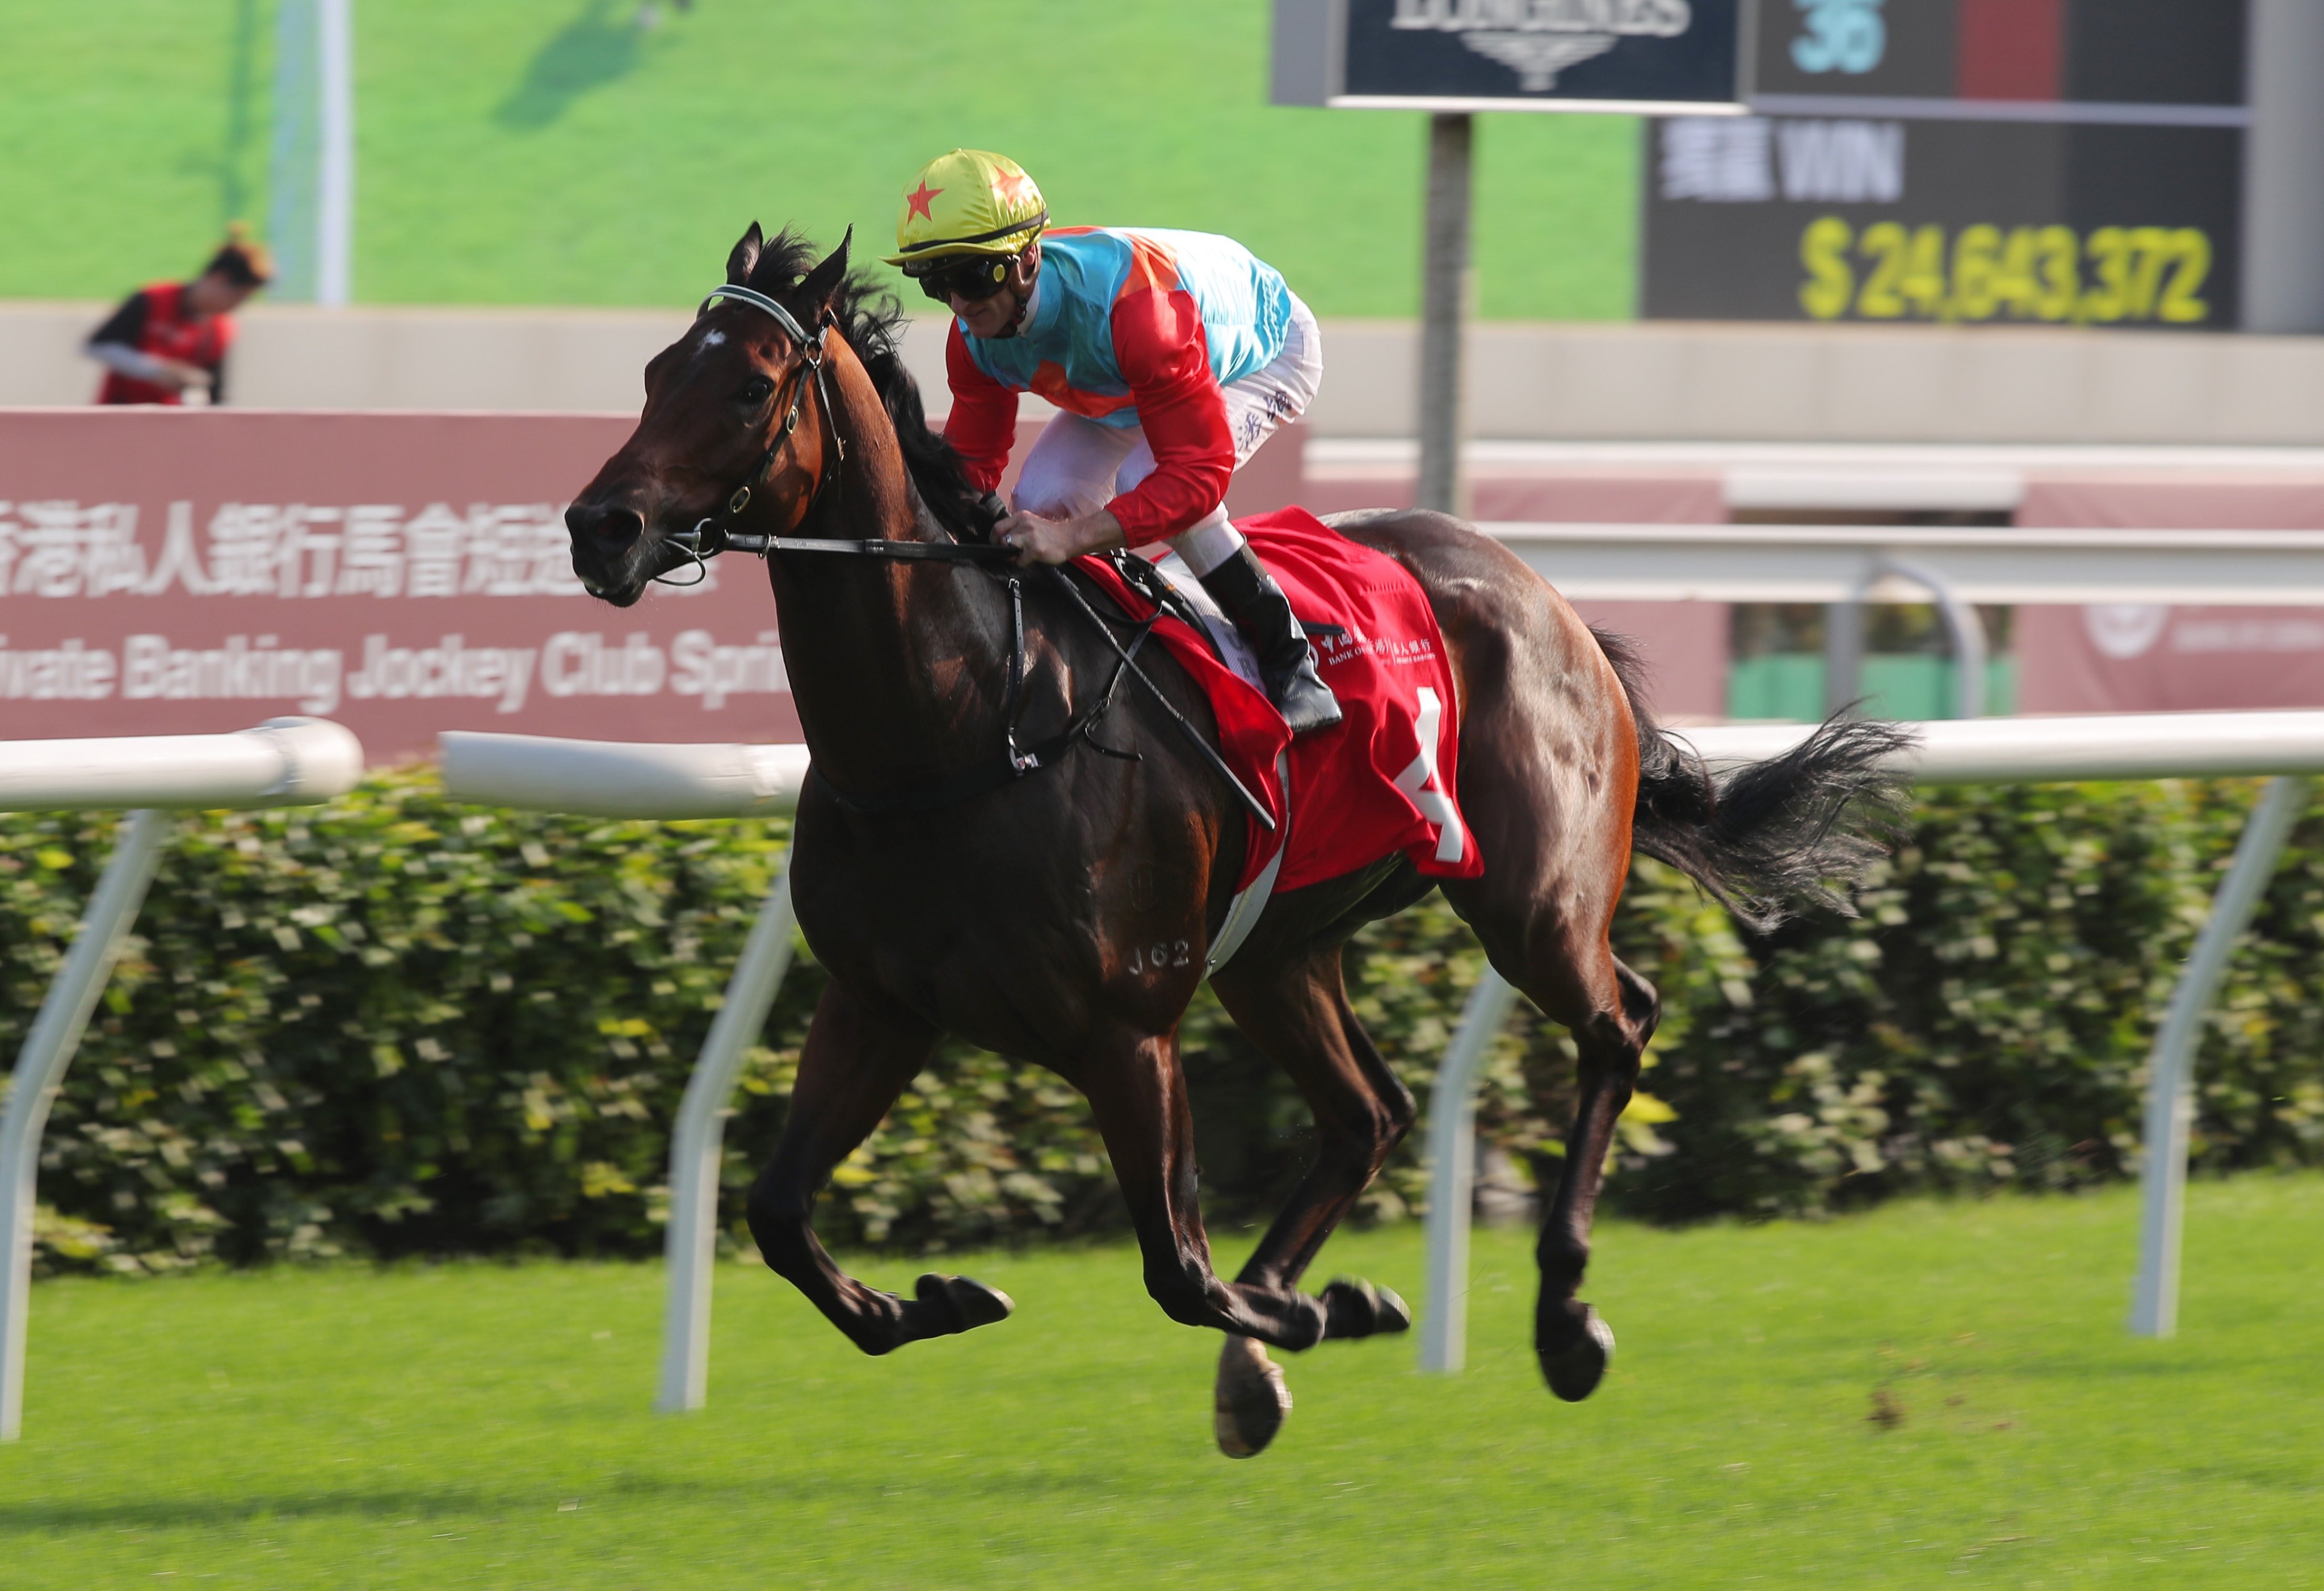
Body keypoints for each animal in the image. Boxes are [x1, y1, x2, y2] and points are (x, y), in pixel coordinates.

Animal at [567, 223, 1905, 1451]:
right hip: (1276, 950)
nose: (599, 527)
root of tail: (1553, 599)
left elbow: (1178, 1269)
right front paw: (938, 1299)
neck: (961, 723)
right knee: (1367, 1111)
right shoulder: (877, 999)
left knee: (1616, 1024)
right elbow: (778, 1213)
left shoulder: (1128, 1029)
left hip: (1531, 902)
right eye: (652, 370)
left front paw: (1329, 1311)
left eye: (749, 387)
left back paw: (1561, 1318)